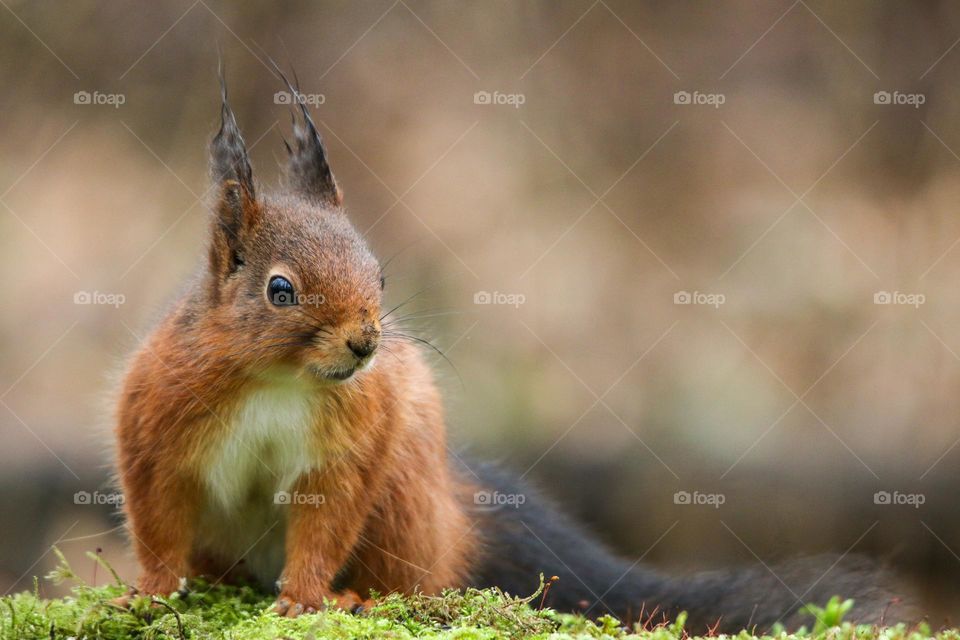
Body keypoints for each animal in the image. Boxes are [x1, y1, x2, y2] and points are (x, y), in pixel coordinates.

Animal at [114, 71, 916, 632]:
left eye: (380, 275)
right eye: (280, 290)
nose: (366, 343)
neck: (282, 380)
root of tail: (455, 520)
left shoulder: (352, 444)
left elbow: (326, 520)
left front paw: (307, 599)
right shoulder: (157, 421)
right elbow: (154, 515)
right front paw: (149, 593)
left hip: (403, 495)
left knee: (415, 577)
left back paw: (360, 595)